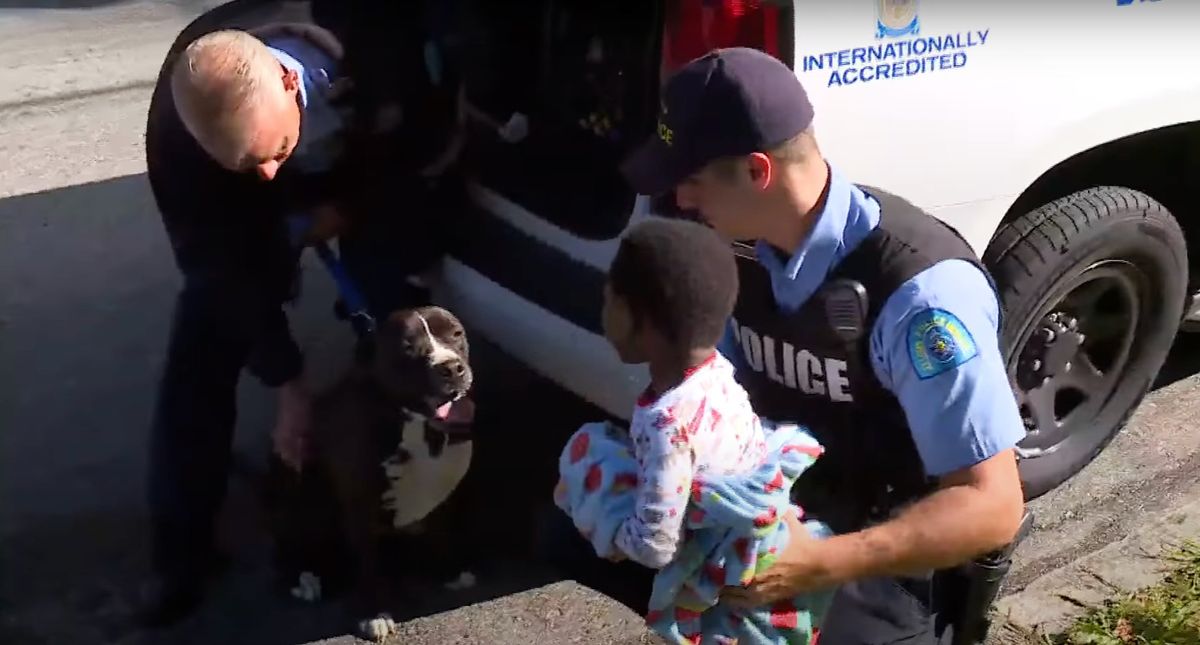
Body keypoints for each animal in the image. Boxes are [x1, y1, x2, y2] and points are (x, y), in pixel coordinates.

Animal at [265, 304, 475, 637]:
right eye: (407, 347)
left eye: (456, 334)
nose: (451, 368)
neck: (416, 423)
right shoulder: (359, 503)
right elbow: (367, 564)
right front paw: (373, 613)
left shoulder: (444, 489)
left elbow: (442, 531)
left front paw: (451, 571)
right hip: (295, 499)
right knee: (288, 548)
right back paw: (306, 576)